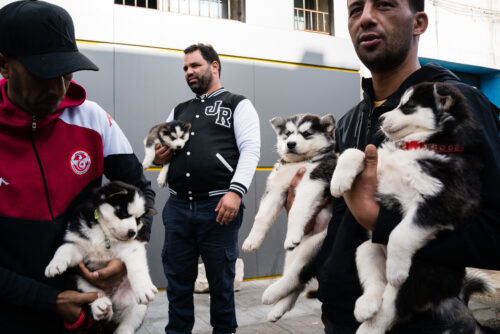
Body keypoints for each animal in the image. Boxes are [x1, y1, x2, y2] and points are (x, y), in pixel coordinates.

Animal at [46, 181, 158, 332]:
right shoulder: (77, 242)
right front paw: (54, 265)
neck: (104, 232)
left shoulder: (133, 246)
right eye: (123, 213)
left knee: (127, 324)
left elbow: (137, 267)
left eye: (138, 220)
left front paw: (144, 288)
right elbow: (64, 249)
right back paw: (101, 307)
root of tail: (114, 301)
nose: (132, 232)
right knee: (92, 294)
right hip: (78, 281)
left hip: (137, 307)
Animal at [242, 113, 336, 322]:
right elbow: (261, 216)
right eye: (287, 134)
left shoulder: (313, 180)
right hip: (297, 251)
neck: (299, 163)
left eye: (306, 133)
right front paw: (252, 240)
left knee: (297, 274)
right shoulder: (276, 189)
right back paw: (278, 309)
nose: (290, 144)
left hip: (318, 244)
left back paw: (271, 293)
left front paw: (292, 234)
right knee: (298, 280)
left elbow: (297, 209)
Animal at [330, 83, 494, 334]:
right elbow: (354, 152)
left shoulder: (445, 200)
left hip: (420, 272)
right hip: (367, 248)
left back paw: (371, 323)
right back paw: (366, 304)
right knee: (375, 281)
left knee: (391, 305)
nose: (381, 118)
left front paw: (396, 267)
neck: (417, 144)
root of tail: (446, 295)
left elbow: (401, 233)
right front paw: (339, 180)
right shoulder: (382, 168)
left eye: (407, 107)